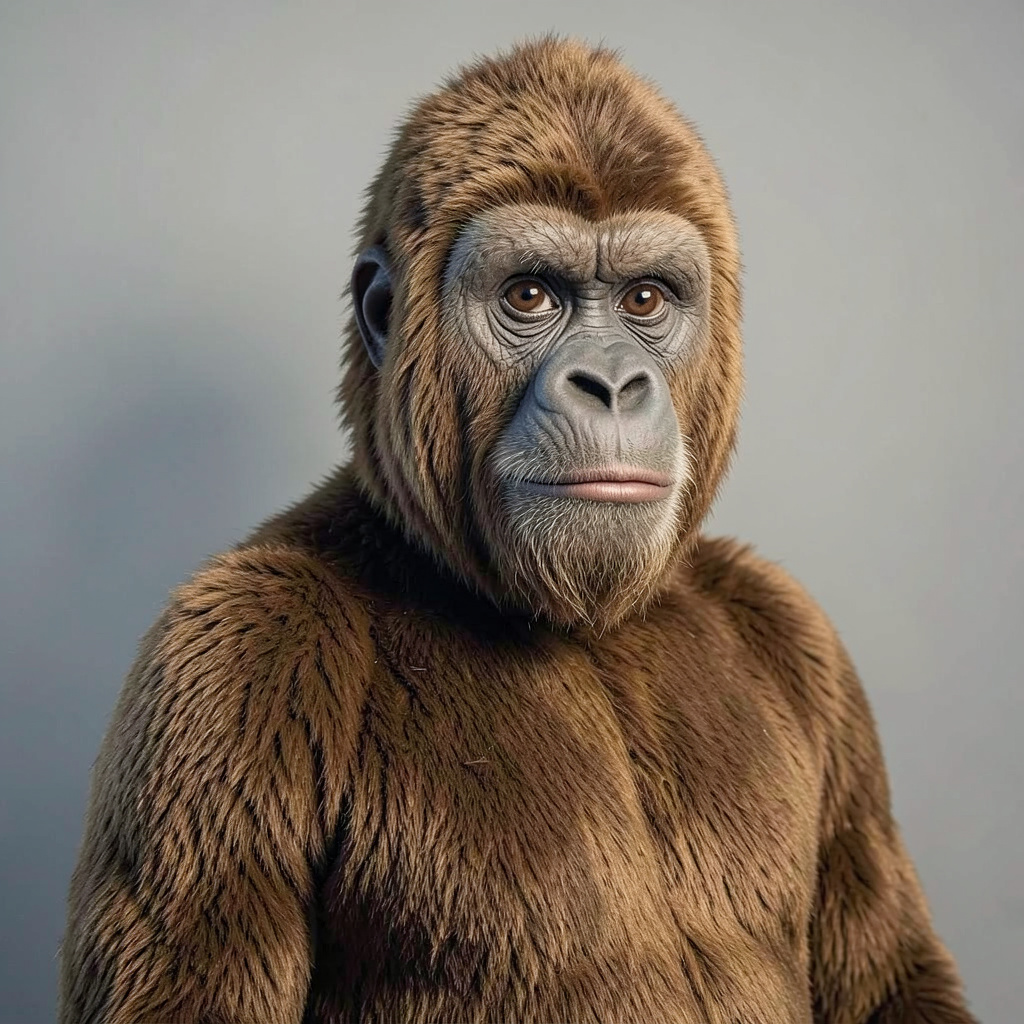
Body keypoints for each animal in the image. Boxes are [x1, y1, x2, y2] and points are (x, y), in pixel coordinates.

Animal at [59, 37, 976, 1024]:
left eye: (646, 300)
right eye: (531, 295)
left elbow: (889, 973)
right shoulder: (232, 661)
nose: (612, 384)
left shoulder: (796, 627)